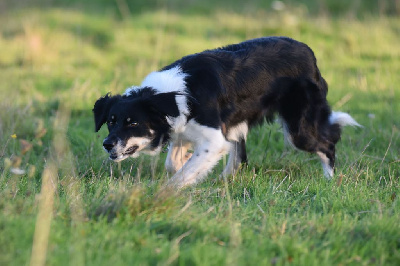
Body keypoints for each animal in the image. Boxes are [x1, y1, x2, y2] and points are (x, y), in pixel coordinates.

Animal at [93, 36, 360, 188]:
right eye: (110, 122)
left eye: (133, 123)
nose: (107, 144)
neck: (170, 96)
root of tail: (309, 52)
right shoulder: (184, 130)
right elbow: (174, 163)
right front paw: (192, 171)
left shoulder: (214, 139)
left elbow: (179, 175)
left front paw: (170, 190)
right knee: (239, 156)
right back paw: (226, 179)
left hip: (298, 129)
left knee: (328, 143)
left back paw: (330, 180)